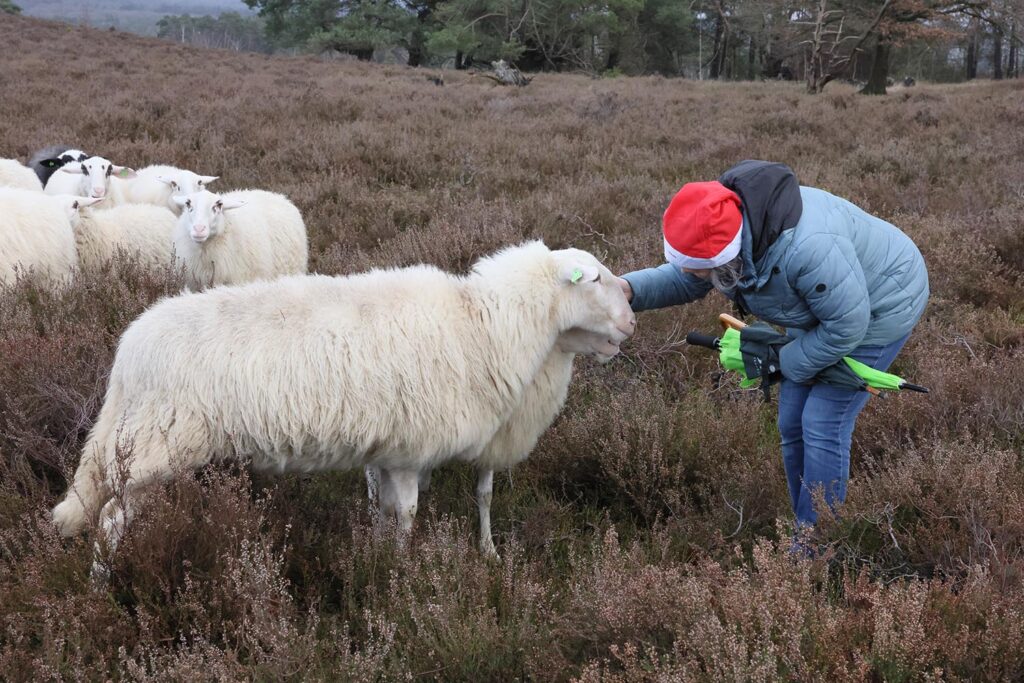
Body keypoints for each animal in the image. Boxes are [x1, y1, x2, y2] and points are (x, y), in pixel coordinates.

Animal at [54, 240, 638, 577]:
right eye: (596, 278)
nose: (634, 313)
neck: (482, 323)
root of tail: (129, 348)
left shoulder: (389, 450)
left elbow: (385, 514)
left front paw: (378, 559)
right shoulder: (410, 450)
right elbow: (406, 518)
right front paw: (400, 577)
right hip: (157, 445)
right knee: (108, 519)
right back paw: (101, 586)